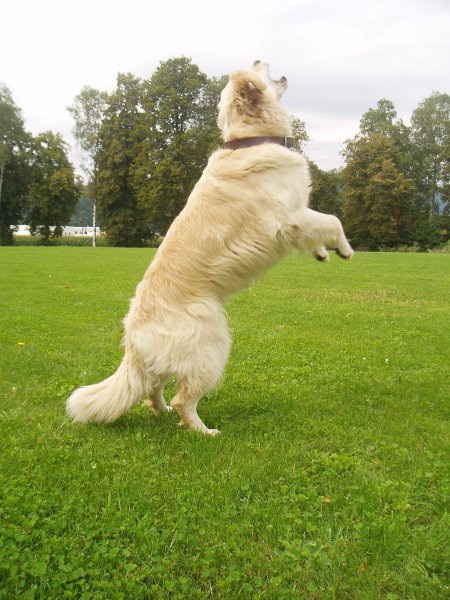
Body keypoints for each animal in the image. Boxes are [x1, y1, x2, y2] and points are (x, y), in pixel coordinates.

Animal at [67, 61, 356, 434]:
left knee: (154, 390)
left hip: (168, 362)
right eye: (256, 68)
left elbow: (319, 230)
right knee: (183, 400)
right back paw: (205, 432)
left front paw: (321, 252)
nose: (259, 58)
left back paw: (161, 412)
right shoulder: (289, 217)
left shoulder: (297, 218)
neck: (250, 140)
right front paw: (344, 249)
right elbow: (333, 220)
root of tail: (133, 338)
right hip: (213, 345)